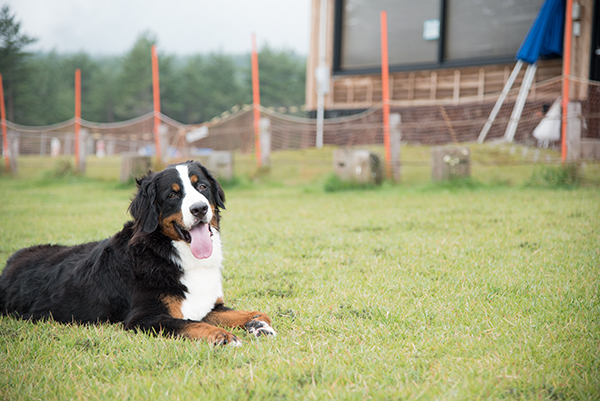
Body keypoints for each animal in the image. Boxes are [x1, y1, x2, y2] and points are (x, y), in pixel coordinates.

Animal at [0, 159, 276, 344]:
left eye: (203, 187)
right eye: (173, 195)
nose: (199, 209)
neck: (171, 254)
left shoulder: (207, 306)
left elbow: (257, 312)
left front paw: (257, 324)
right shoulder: (144, 317)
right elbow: (189, 325)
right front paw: (222, 336)